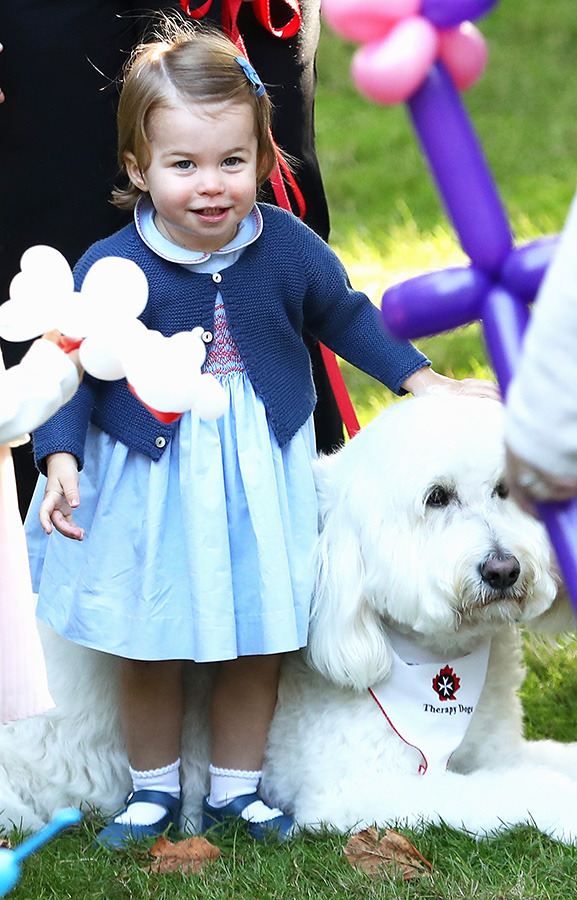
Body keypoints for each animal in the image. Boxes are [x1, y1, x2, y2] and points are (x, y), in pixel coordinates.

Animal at [3, 394, 576, 844]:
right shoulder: (364, 790)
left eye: (506, 491)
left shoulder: (497, 749)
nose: (503, 570)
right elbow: (503, 792)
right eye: (437, 497)